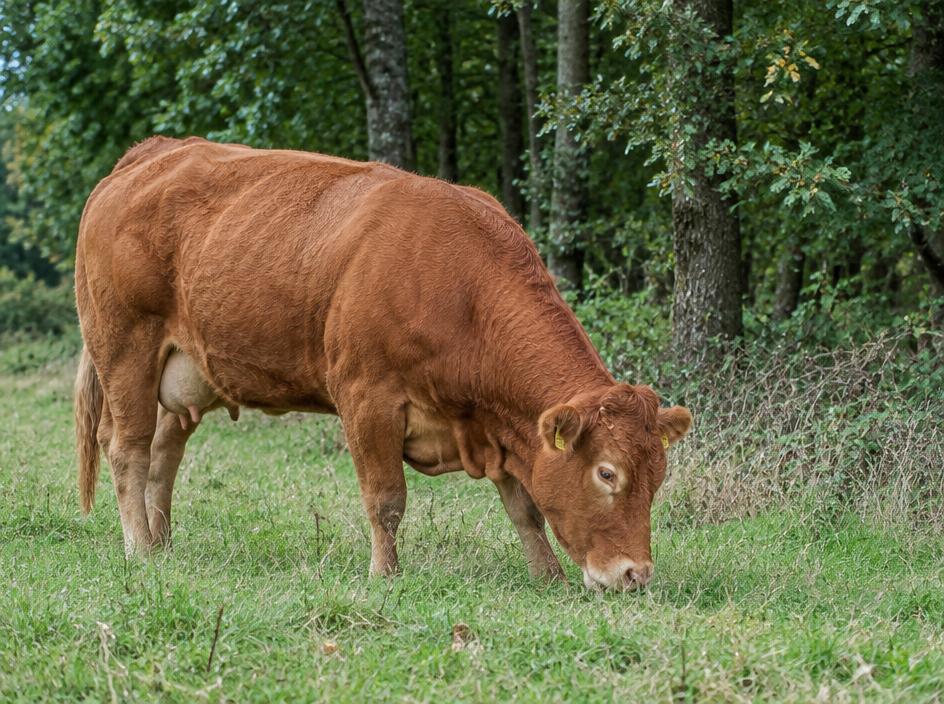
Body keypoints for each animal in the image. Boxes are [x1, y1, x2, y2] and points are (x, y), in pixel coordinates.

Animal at [74, 136, 692, 591]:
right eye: (606, 473)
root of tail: (151, 151)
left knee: (163, 454)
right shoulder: (367, 397)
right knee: (127, 449)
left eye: (658, 476)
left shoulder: (497, 423)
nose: (635, 574)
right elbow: (386, 499)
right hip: (124, 348)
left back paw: (163, 545)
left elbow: (525, 506)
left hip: (186, 372)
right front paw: (385, 575)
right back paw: (139, 550)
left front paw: (547, 576)